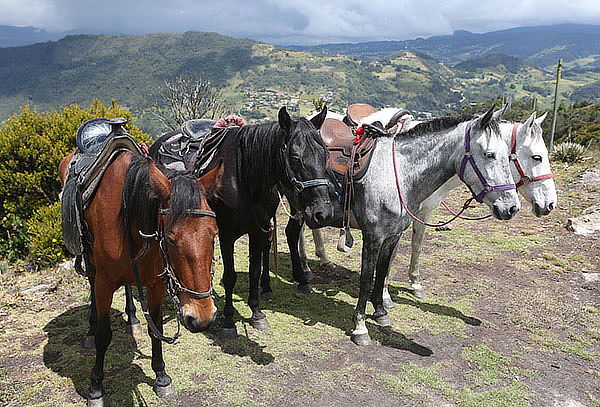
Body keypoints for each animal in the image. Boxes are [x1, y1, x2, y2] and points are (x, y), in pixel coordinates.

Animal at [58, 151, 218, 406]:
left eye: (214, 234)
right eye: (170, 239)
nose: (202, 317)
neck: (128, 215)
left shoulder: (155, 283)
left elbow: (156, 328)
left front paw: (161, 377)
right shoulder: (104, 284)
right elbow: (104, 335)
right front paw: (96, 387)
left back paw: (133, 318)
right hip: (91, 264)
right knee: (92, 289)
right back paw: (91, 329)